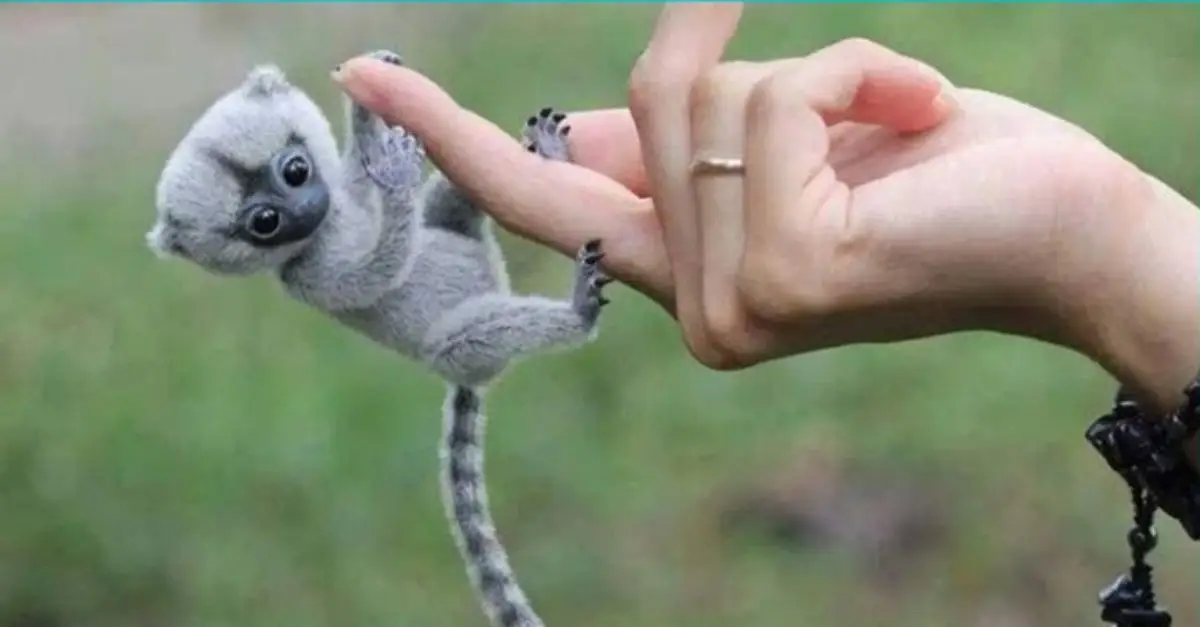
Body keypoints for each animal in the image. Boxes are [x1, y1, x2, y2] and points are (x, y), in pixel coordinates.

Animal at [145, 50, 611, 627]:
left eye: (295, 171)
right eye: (265, 222)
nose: (306, 209)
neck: (323, 226)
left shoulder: (338, 198)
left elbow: (357, 179)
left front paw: (365, 108)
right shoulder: (311, 275)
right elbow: (376, 272)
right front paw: (394, 176)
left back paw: (545, 156)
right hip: (461, 354)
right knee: (458, 339)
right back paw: (577, 314)